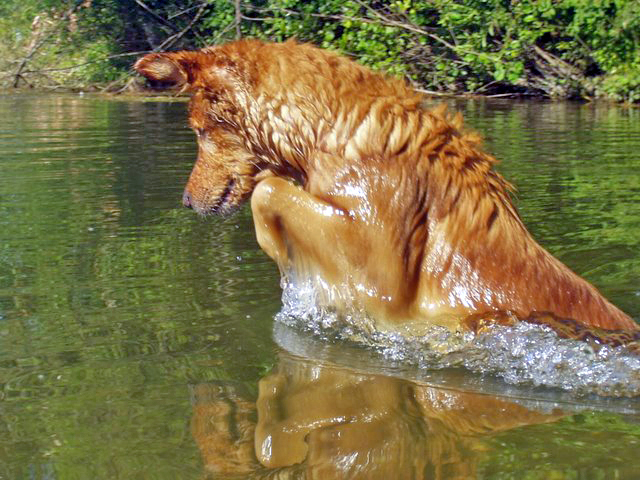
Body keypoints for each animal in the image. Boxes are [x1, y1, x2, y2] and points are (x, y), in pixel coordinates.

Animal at [134, 39, 636, 344]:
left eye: (199, 131)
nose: (185, 200)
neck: (332, 131)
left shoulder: (381, 274)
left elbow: (269, 192)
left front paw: (280, 251)